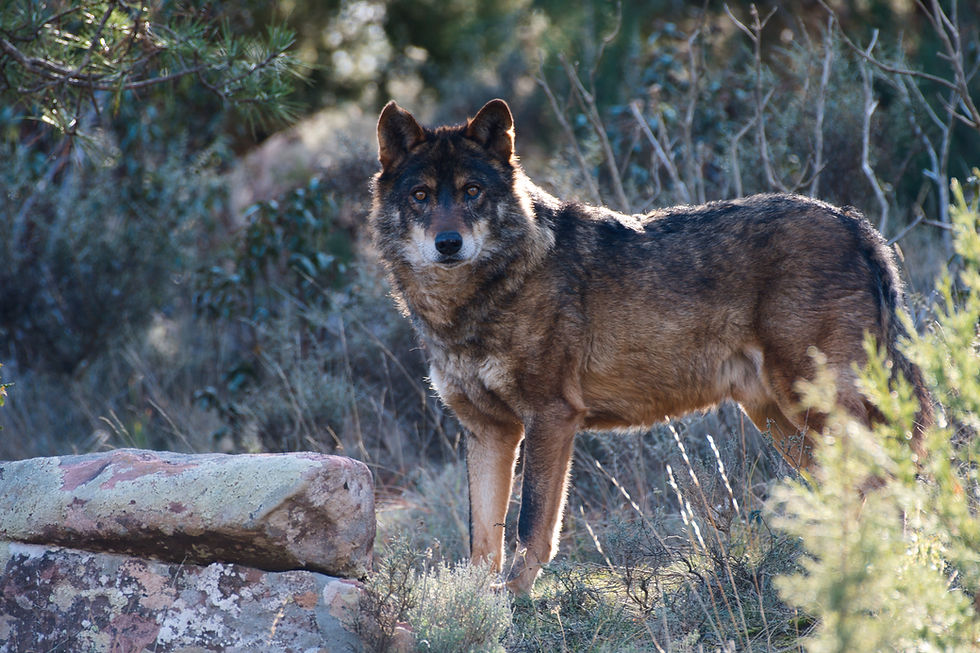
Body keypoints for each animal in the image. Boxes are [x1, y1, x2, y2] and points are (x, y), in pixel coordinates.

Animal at [369, 98, 933, 593]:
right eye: (421, 195)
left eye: (471, 192)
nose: (448, 244)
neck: (472, 304)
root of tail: (855, 223)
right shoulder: (489, 431)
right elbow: (481, 542)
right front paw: (476, 604)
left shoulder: (551, 418)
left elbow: (531, 528)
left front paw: (512, 599)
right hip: (782, 421)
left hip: (814, 407)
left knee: (888, 475)